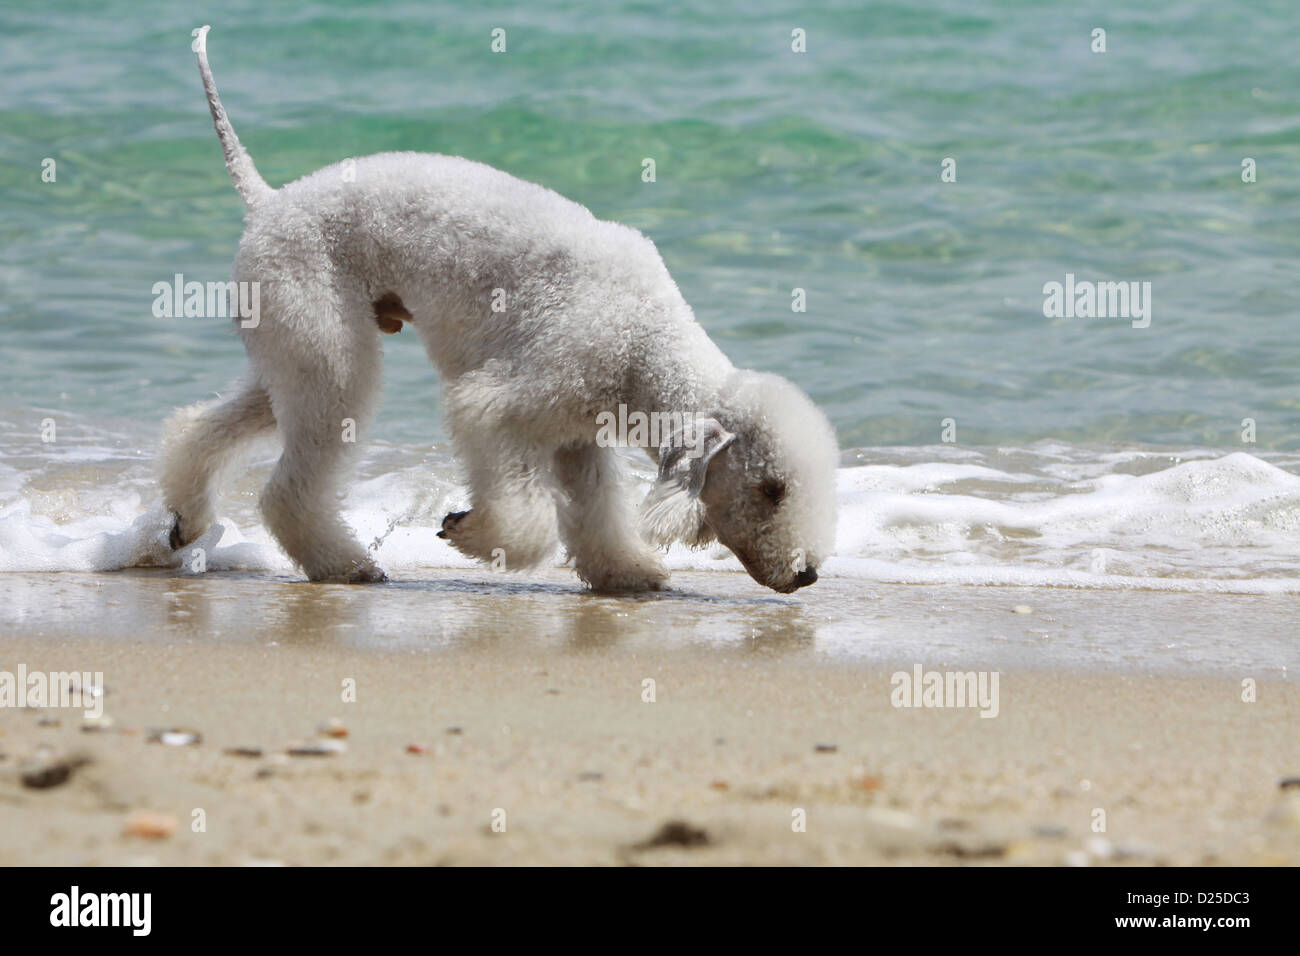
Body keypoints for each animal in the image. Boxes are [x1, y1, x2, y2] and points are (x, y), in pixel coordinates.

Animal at [162, 27, 837, 590]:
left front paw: (627, 574)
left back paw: (183, 521)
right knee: (290, 485)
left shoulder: (576, 434)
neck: (645, 345)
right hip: (325, 343)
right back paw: (345, 565)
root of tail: (268, 200)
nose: (807, 574)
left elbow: (596, 509)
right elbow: (521, 507)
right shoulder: (503, 404)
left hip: (290, 347)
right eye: (772, 489)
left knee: (204, 426)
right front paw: (471, 533)